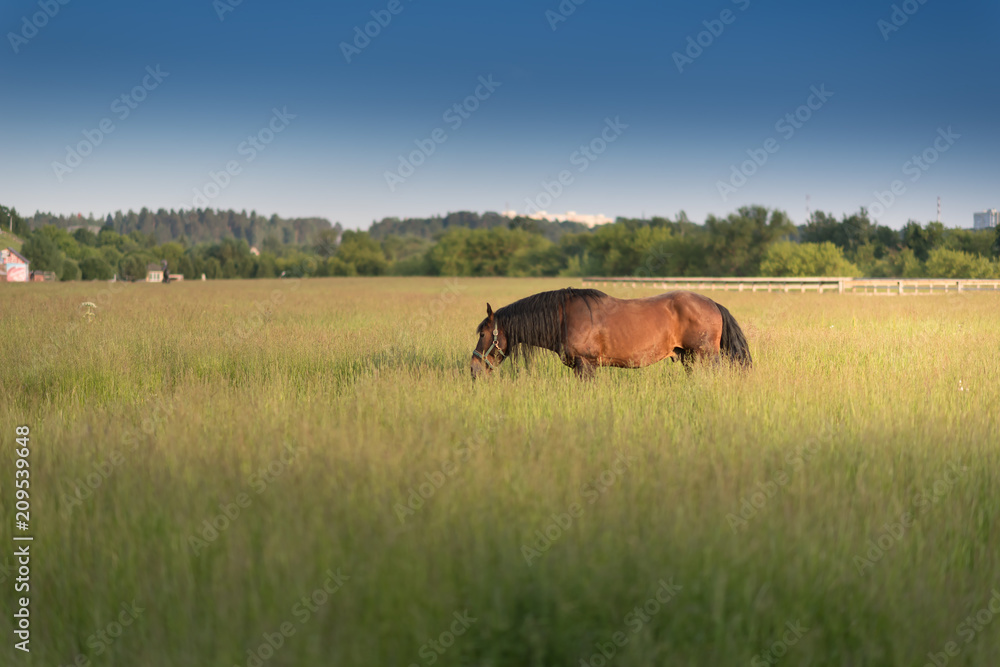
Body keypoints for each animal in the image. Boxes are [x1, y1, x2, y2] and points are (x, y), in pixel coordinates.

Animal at [470, 287, 751, 379]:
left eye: (483, 334)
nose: (473, 368)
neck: (564, 318)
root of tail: (712, 303)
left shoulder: (585, 365)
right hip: (689, 358)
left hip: (706, 357)